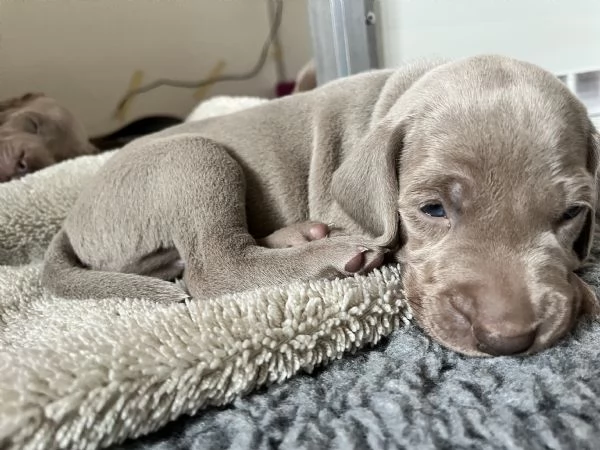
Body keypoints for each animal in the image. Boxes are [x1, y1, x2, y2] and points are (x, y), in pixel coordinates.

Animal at [42, 56, 600, 356]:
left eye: (572, 214)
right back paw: (332, 253)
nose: (509, 339)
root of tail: (71, 220)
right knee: (212, 265)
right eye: (433, 209)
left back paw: (300, 236)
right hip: (192, 158)